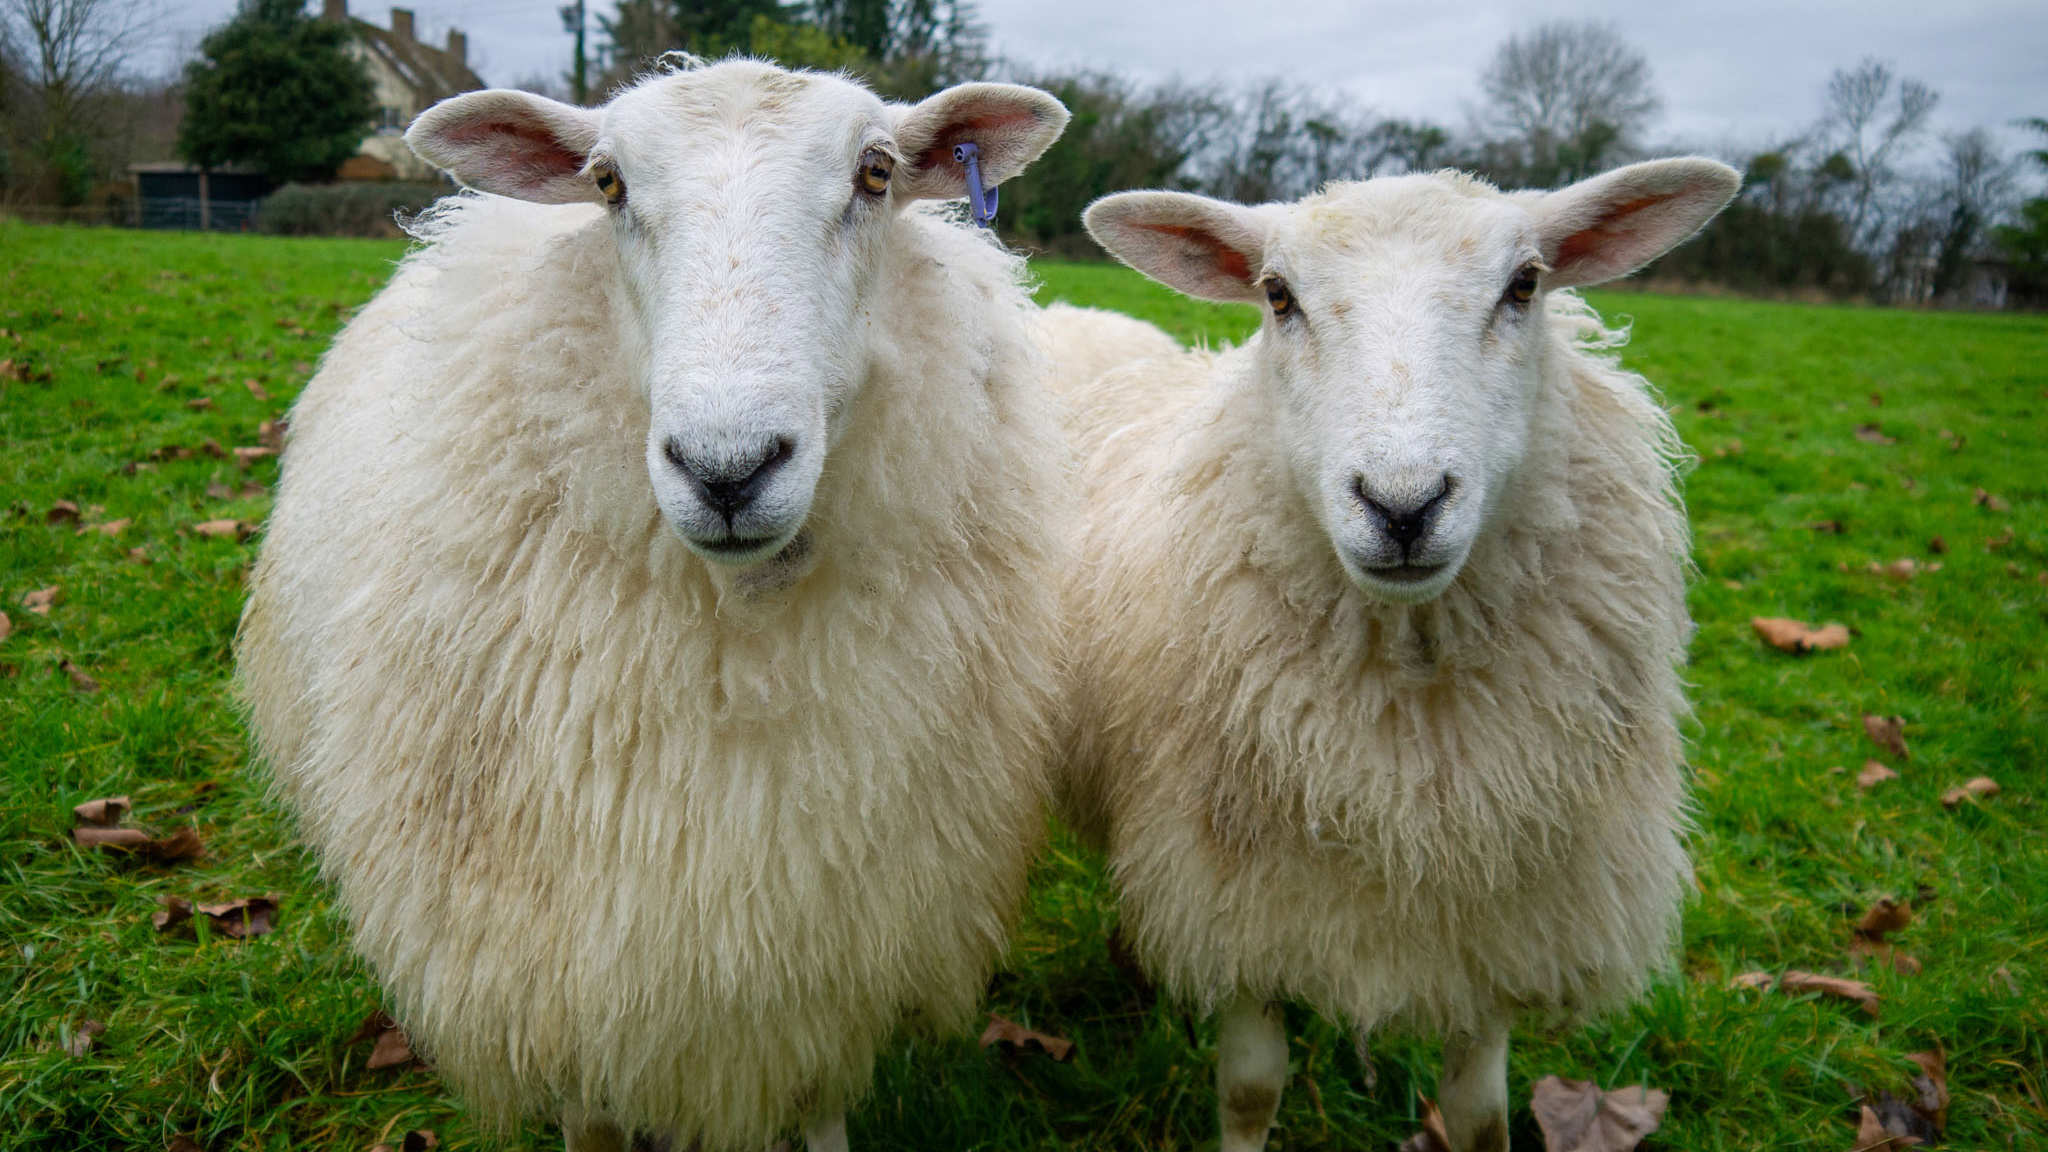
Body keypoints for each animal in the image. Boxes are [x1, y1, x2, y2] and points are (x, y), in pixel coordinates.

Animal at [234, 62, 1073, 1147]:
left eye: (877, 172)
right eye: (608, 184)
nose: (727, 469)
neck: (735, 651)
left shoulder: (831, 951)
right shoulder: (568, 971)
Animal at [1064, 161, 1736, 1147]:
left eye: (1524, 284)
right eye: (1277, 294)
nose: (1403, 504)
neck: (1415, 732)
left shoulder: (1499, 910)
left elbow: (1481, 1112)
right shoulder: (1239, 897)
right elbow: (1252, 1088)